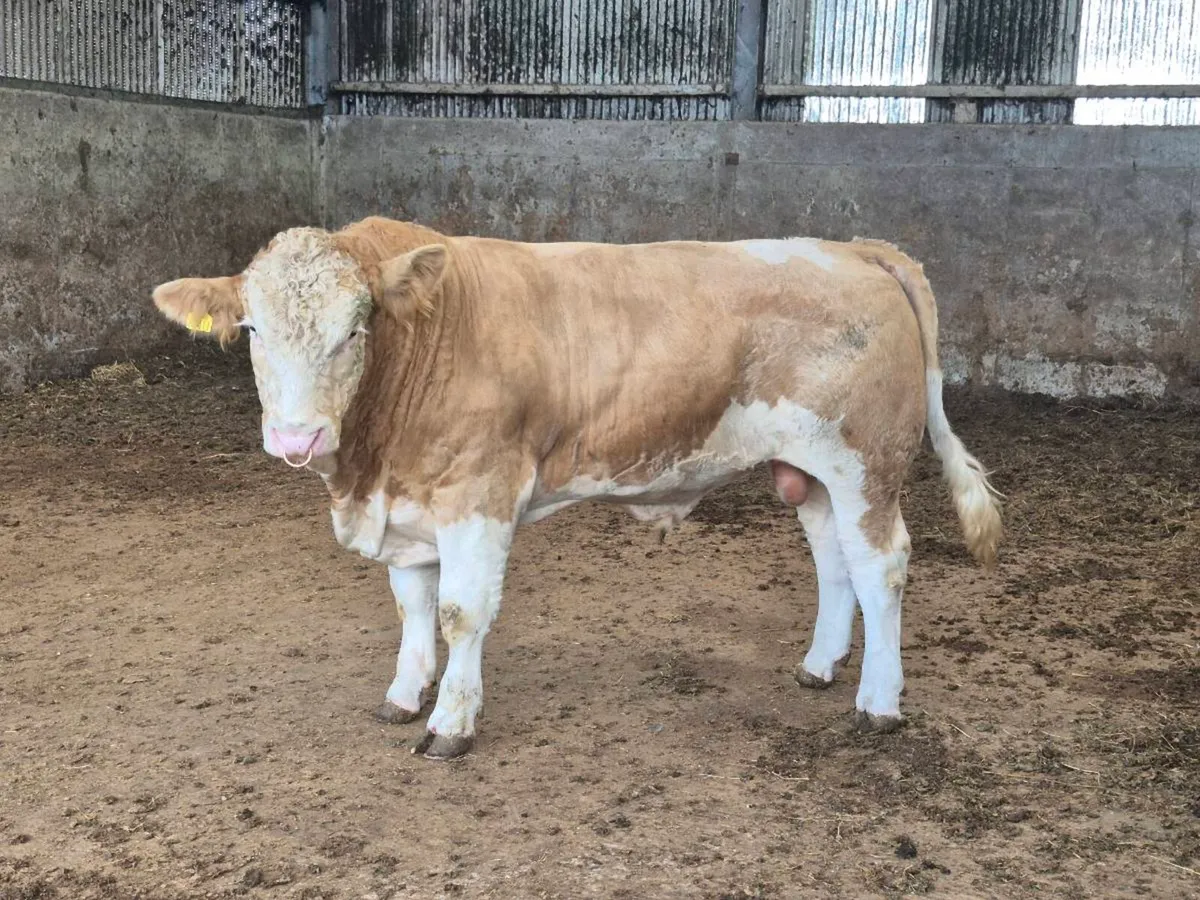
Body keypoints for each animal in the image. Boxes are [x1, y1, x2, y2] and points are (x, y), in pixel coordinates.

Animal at [152, 216, 1002, 760]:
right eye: (252, 331)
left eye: (356, 327)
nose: (297, 438)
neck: (372, 468)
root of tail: (851, 248)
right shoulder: (412, 503)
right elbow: (412, 606)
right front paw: (404, 693)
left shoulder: (480, 494)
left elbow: (461, 614)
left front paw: (452, 723)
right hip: (814, 472)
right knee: (835, 561)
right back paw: (821, 664)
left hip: (867, 461)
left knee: (883, 565)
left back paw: (879, 703)